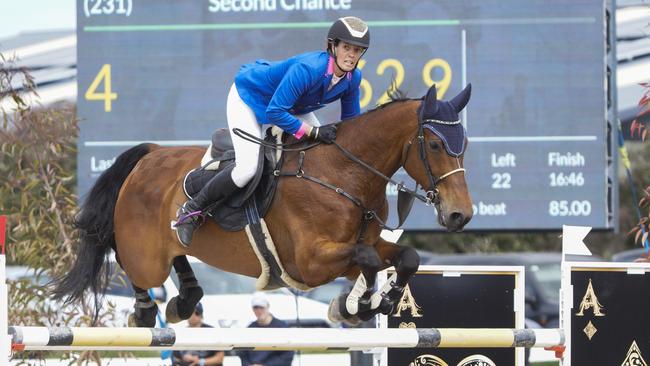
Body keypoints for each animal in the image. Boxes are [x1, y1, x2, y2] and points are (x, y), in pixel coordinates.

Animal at [52, 84, 470, 328]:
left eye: (463, 143)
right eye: (435, 145)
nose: (460, 215)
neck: (344, 173)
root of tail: (150, 155)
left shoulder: (358, 249)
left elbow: (406, 257)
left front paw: (373, 303)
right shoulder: (310, 262)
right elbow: (366, 259)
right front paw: (356, 305)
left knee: (178, 256)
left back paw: (185, 299)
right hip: (145, 254)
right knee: (124, 257)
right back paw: (145, 310)